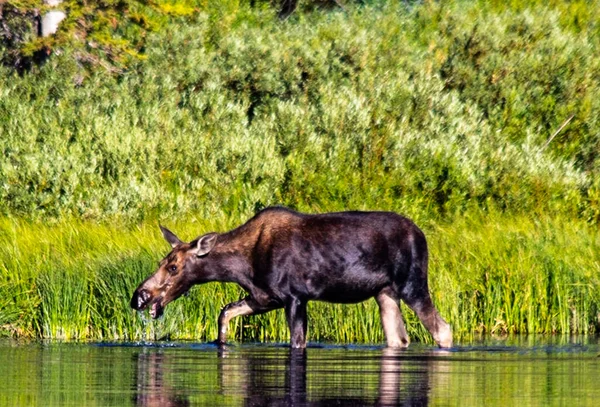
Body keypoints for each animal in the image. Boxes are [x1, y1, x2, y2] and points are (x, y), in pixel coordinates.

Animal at [130, 209, 450, 350]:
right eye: (161, 263)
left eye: (173, 267)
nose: (139, 297)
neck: (240, 266)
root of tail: (423, 236)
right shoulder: (263, 298)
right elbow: (225, 312)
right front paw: (221, 342)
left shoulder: (295, 297)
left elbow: (297, 341)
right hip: (384, 293)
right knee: (399, 338)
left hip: (412, 284)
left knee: (443, 329)